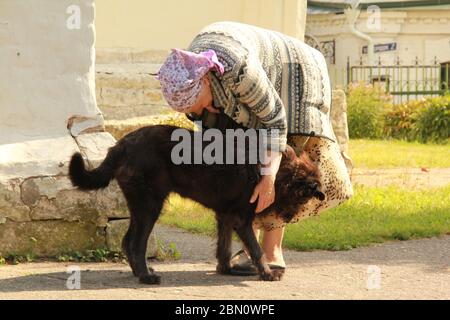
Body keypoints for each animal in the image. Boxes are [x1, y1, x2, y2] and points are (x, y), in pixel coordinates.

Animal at [68, 124, 324, 284]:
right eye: (302, 197)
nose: (288, 218)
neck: (274, 170)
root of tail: (121, 145)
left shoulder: (226, 216)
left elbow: (224, 247)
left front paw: (227, 270)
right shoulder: (241, 218)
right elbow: (256, 249)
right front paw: (268, 274)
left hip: (141, 205)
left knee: (127, 240)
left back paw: (140, 272)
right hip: (150, 205)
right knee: (136, 243)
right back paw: (146, 277)